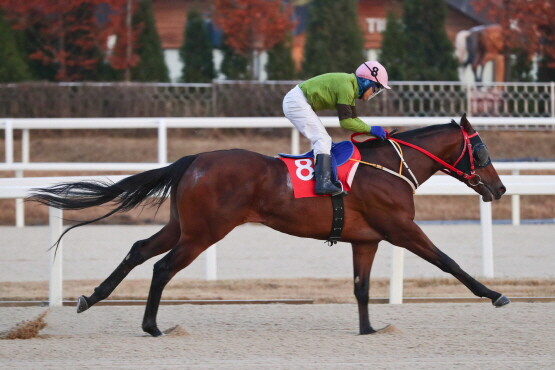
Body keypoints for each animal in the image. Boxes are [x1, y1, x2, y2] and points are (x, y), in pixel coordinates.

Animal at [28, 114, 510, 336]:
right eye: (482, 150)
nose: (500, 188)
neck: (389, 167)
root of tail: (193, 160)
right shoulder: (401, 229)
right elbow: (449, 262)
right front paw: (494, 295)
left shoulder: (366, 239)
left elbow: (361, 287)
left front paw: (369, 328)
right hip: (204, 232)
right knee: (162, 267)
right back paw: (151, 326)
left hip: (184, 226)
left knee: (139, 250)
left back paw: (90, 298)